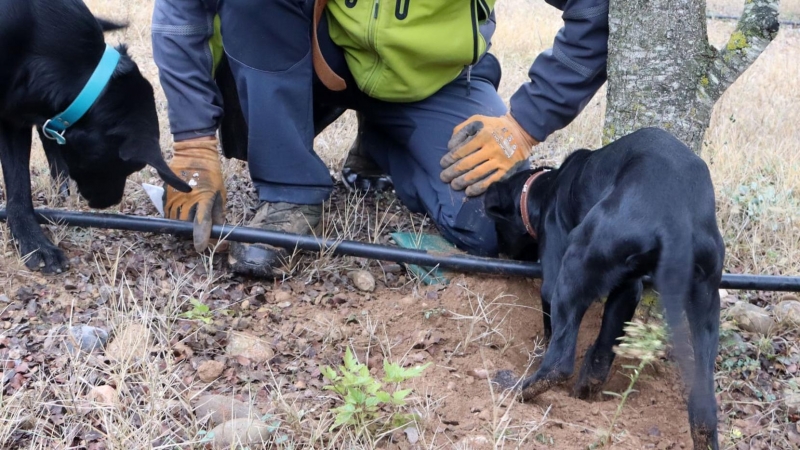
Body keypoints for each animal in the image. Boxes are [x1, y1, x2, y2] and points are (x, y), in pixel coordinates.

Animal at [484, 127, 728, 450]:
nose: (499, 251)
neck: (546, 189)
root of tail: (676, 219)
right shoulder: (629, 287)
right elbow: (603, 350)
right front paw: (587, 389)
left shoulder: (554, 273)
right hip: (706, 301)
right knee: (704, 407)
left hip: (576, 262)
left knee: (559, 363)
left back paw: (515, 388)